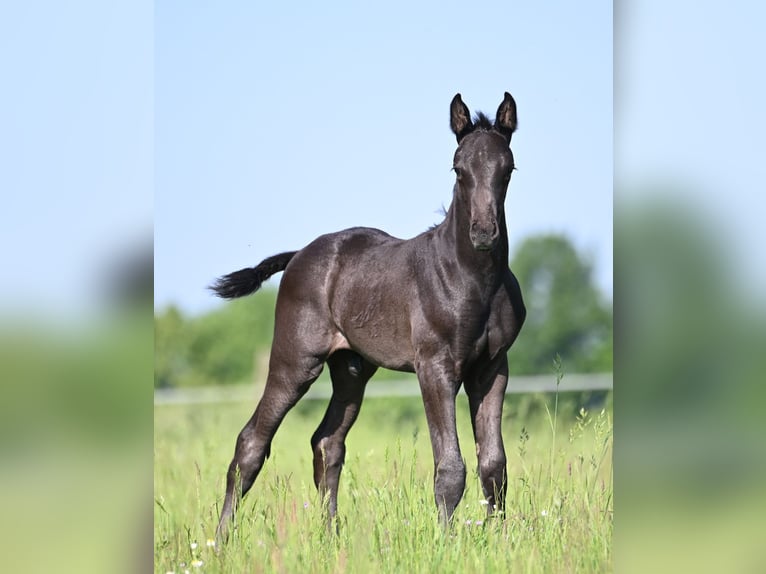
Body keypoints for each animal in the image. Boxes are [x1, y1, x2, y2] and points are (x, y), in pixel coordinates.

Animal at [212, 92, 525, 540]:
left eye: (507, 169)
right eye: (458, 168)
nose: (483, 233)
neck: (474, 278)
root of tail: (299, 255)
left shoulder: (492, 368)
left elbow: (494, 465)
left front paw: (499, 541)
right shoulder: (435, 367)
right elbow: (450, 467)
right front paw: (447, 544)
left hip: (352, 368)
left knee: (327, 442)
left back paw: (330, 537)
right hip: (296, 361)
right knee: (251, 441)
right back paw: (220, 541)